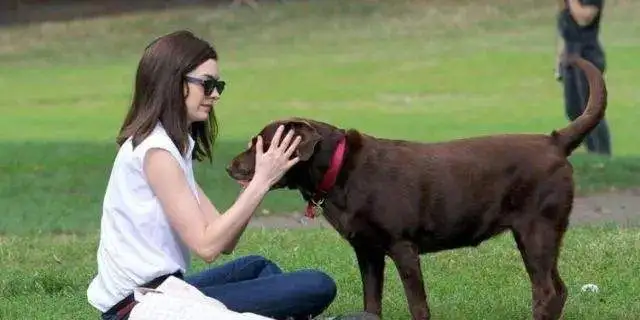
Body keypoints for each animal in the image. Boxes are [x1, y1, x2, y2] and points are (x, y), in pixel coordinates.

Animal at [228, 55, 608, 320]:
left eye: (258, 144)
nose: (230, 166)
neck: (340, 169)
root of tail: (555, 141)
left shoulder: (403, 247)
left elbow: (418, 306)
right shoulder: (367, 251)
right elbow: (371, 303)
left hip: (537, 230)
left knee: (547, 292)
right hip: (537, 235)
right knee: (557, 289)